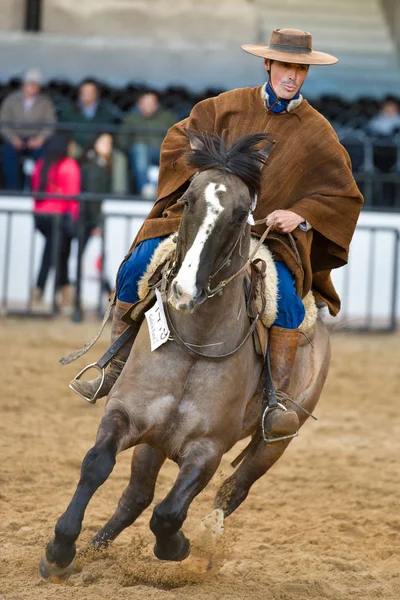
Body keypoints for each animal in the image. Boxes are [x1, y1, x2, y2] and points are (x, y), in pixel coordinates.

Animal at [39, 130, 330, 580]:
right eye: (189, 199)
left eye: (241, 213)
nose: (184, 291)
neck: (195, 343)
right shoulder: (126, 415)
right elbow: (96, 465)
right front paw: (60, 549)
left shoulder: (208, 449)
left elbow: (169, 512)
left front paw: (176, 547)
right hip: (154, 441)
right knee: (136, 496)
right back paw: (91, 549)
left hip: (272, 444)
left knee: (229, 493)